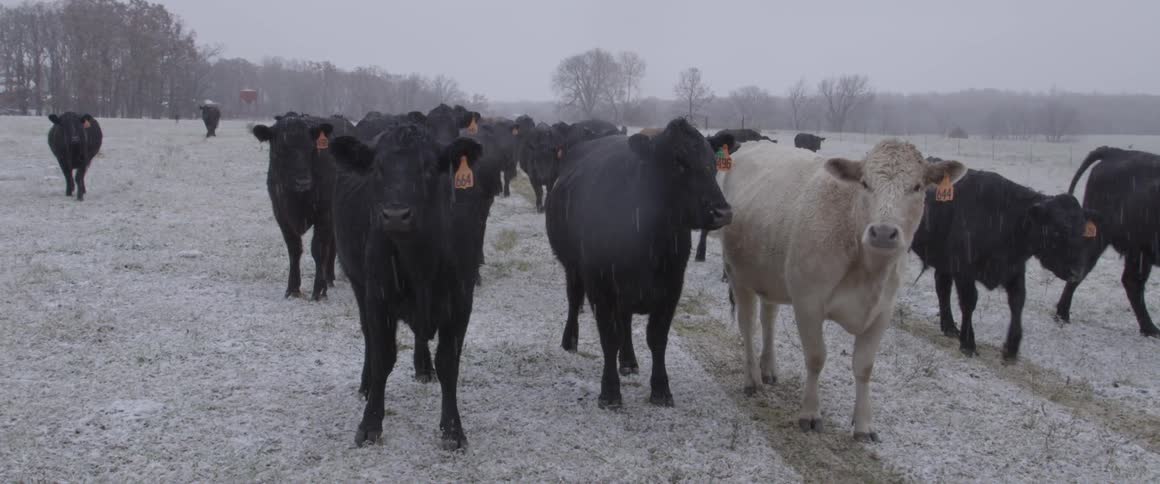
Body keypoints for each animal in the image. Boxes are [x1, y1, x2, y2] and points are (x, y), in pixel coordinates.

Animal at [251, 113, 350, 300]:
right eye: (281, 150)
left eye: (311, 148)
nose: (302, 181)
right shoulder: (281, 214)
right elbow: (294, 249)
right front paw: (292, 288)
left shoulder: (324, 214)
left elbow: (318, 249)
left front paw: (319, 290)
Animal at [329, 121, 485, 450]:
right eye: (377, 167)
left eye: (428, 168)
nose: (396, 215)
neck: (420, 261)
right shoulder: (377, 298)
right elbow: (382, 357)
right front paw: (370, 423)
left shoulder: (461, 300)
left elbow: (449, 363)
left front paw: (453, 430)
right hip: (358, 284)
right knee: (368, 337)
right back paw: (366, 384)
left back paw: (423, 367)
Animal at [546, 118, 734, 409]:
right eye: (678, 162)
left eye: (712, 164)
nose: (722, 212)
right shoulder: (601, 286)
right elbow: (609, 337)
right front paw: (610, 392)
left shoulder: (672, 285)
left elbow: (656, 338)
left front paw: (661, 389)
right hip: (573, 267)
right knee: (574, 300)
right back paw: (570, 341)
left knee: (625, 319)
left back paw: (629, 361)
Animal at [721, 140, 965, 442]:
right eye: (865, 183)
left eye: (917, 186)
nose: (883, 232)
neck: (868, 271)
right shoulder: (808, 303)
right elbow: (816, 358)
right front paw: (810, 413)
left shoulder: (882, 312)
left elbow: (864, 367)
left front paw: (863, 425)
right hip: (738, 276)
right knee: (747, 325)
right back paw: (752, 379)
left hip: (771, 277)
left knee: (769, 319)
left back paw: (768, 368)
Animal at [911, 169, 1093, 360]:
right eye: (1057, 231)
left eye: (1083, 231)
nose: (1077, 272)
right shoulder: (964, 271)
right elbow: (969, 302)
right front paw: (968, 343)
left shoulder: (1014, 270)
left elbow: (1017, 302)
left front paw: (1012, 346)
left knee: (942, 287)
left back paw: (950, 327)